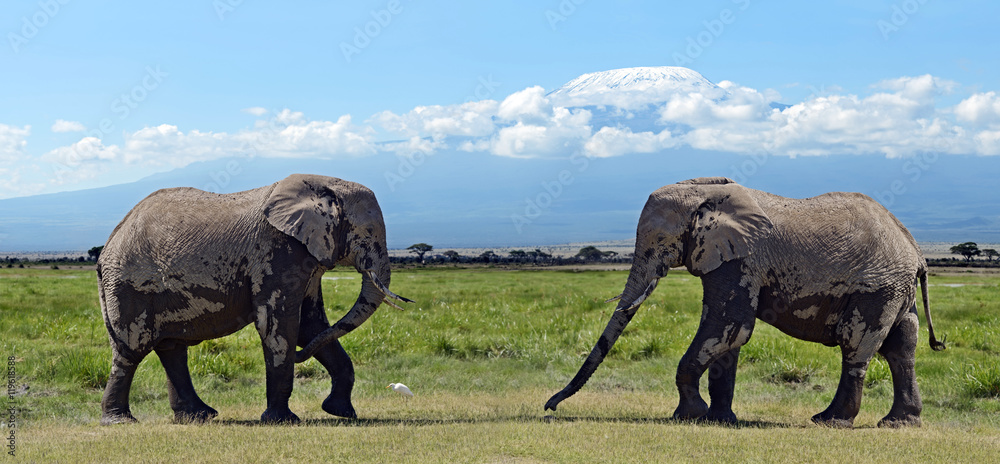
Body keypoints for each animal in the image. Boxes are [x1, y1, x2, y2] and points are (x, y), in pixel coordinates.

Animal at [96, 174, 411, 425]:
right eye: (368, 233)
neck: (324, 185)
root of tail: (106, 249)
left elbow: (311, 326)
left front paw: (341, 413)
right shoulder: (277, 252)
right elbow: (279, 326)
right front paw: (283, 421)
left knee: (171, 349)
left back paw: (199, 416)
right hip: (129, 286)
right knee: (131, 350)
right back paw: (120, 421)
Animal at [545, 177, 945, 428]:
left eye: (659, 241)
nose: (549, 409)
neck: (703, 192)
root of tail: (915, 251)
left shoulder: (739, 259)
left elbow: (729, 325)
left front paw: (688, 414)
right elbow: (729, 337)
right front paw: (720, 420)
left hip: (876, 287)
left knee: (856, 345)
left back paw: (831, 421)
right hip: (897, 290)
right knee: (901, 348)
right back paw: (899, 423)